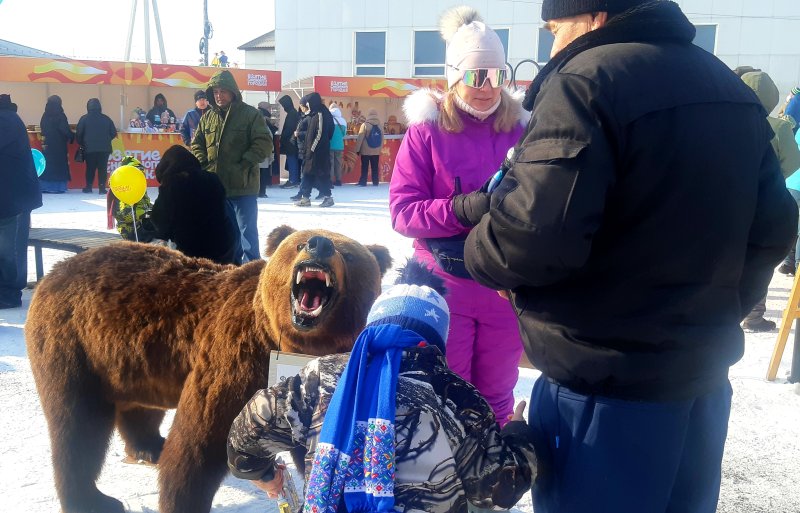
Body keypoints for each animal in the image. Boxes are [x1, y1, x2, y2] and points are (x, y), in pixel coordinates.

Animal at [21, 226, 390, 512]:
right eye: (298, 244)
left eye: (349, 254)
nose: (320, 243)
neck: (290, 345)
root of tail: (55, 272)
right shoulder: (235, 360)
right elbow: (200, 442)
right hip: (73, 346)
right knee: (77, 426)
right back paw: (94, 499)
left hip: (132, 360)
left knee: (137, 407)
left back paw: (149, 446)